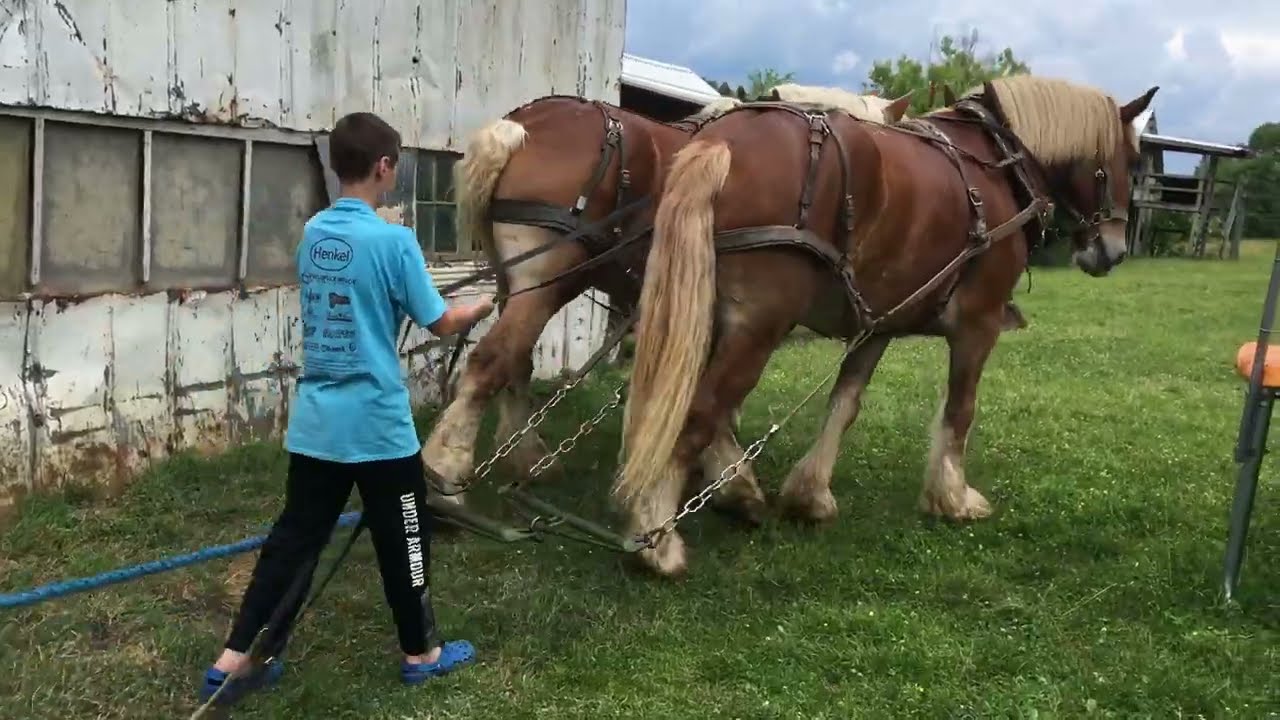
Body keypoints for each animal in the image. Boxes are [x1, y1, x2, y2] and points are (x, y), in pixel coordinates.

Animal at [421, 89, 912, 519]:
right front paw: (727, 479)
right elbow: (715, 399)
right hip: (546, 279)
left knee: (515, 362)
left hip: (517, 282)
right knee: (493, 360)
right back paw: (448, 473)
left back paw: (527, 458)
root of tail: (523, 125)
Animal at [616, 75, 1159, 577]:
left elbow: (845, 403)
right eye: (1132, 161)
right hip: (757, 326)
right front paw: (952, 498)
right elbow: (960, 410)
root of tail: (723, 142)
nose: (1113, 251)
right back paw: (658, 540)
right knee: (696, 413)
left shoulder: (878, 323)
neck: (998, 161)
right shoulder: (978, 323)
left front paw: (810, 494)